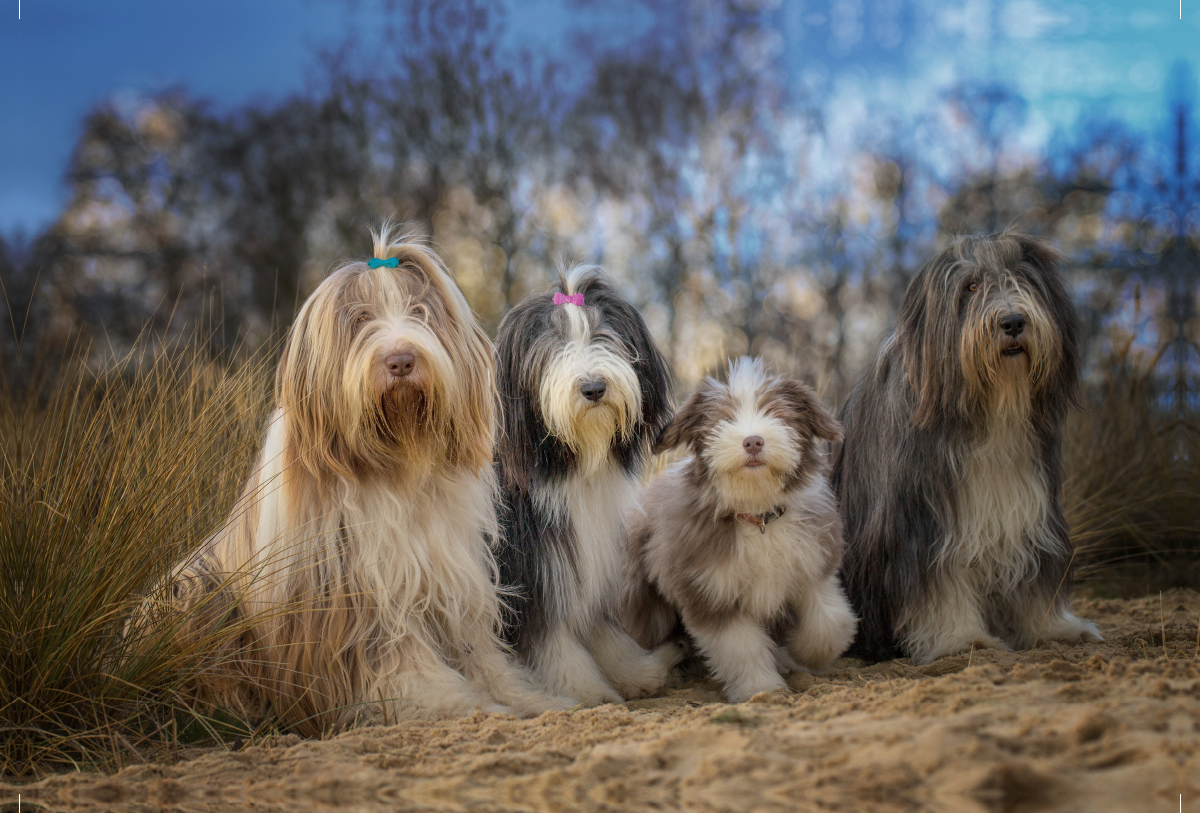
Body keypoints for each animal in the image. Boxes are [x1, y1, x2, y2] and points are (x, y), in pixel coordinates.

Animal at [166, 226, 559, 733]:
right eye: (359, 320)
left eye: (420, 312)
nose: (401, 360)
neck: (398, 463)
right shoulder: (363, 597)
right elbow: (401, 665)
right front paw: (455, 704)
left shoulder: (451, 581)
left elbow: (481, 655)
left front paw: (528, 697)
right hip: (192, 590)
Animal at [494, 267, 686, 705]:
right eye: (554, 345)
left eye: (604, 335)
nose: (594, 388)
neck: (572, 467)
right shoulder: (531, 572)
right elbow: (551, 639)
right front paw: (586, 690)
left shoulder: (589, 559)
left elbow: (602, 632)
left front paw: (637, 672)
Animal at [624, 359, 859, 705]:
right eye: (725, 419)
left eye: (776, 413)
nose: (753, 441)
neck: (757, 517)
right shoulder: (708, 589)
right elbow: (741, 648)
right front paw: (762, 689)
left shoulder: (812, 563)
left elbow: (830, 621)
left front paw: (801, 654)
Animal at [835, 232, 1099, 666]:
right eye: (971, 287)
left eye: (1023, 278)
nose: (1013, 322)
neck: (988, 415)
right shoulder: (922, 526)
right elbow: (938, 584)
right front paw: (963, 640)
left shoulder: (1031, 510)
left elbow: (1036, 577)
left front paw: (1056, 629)